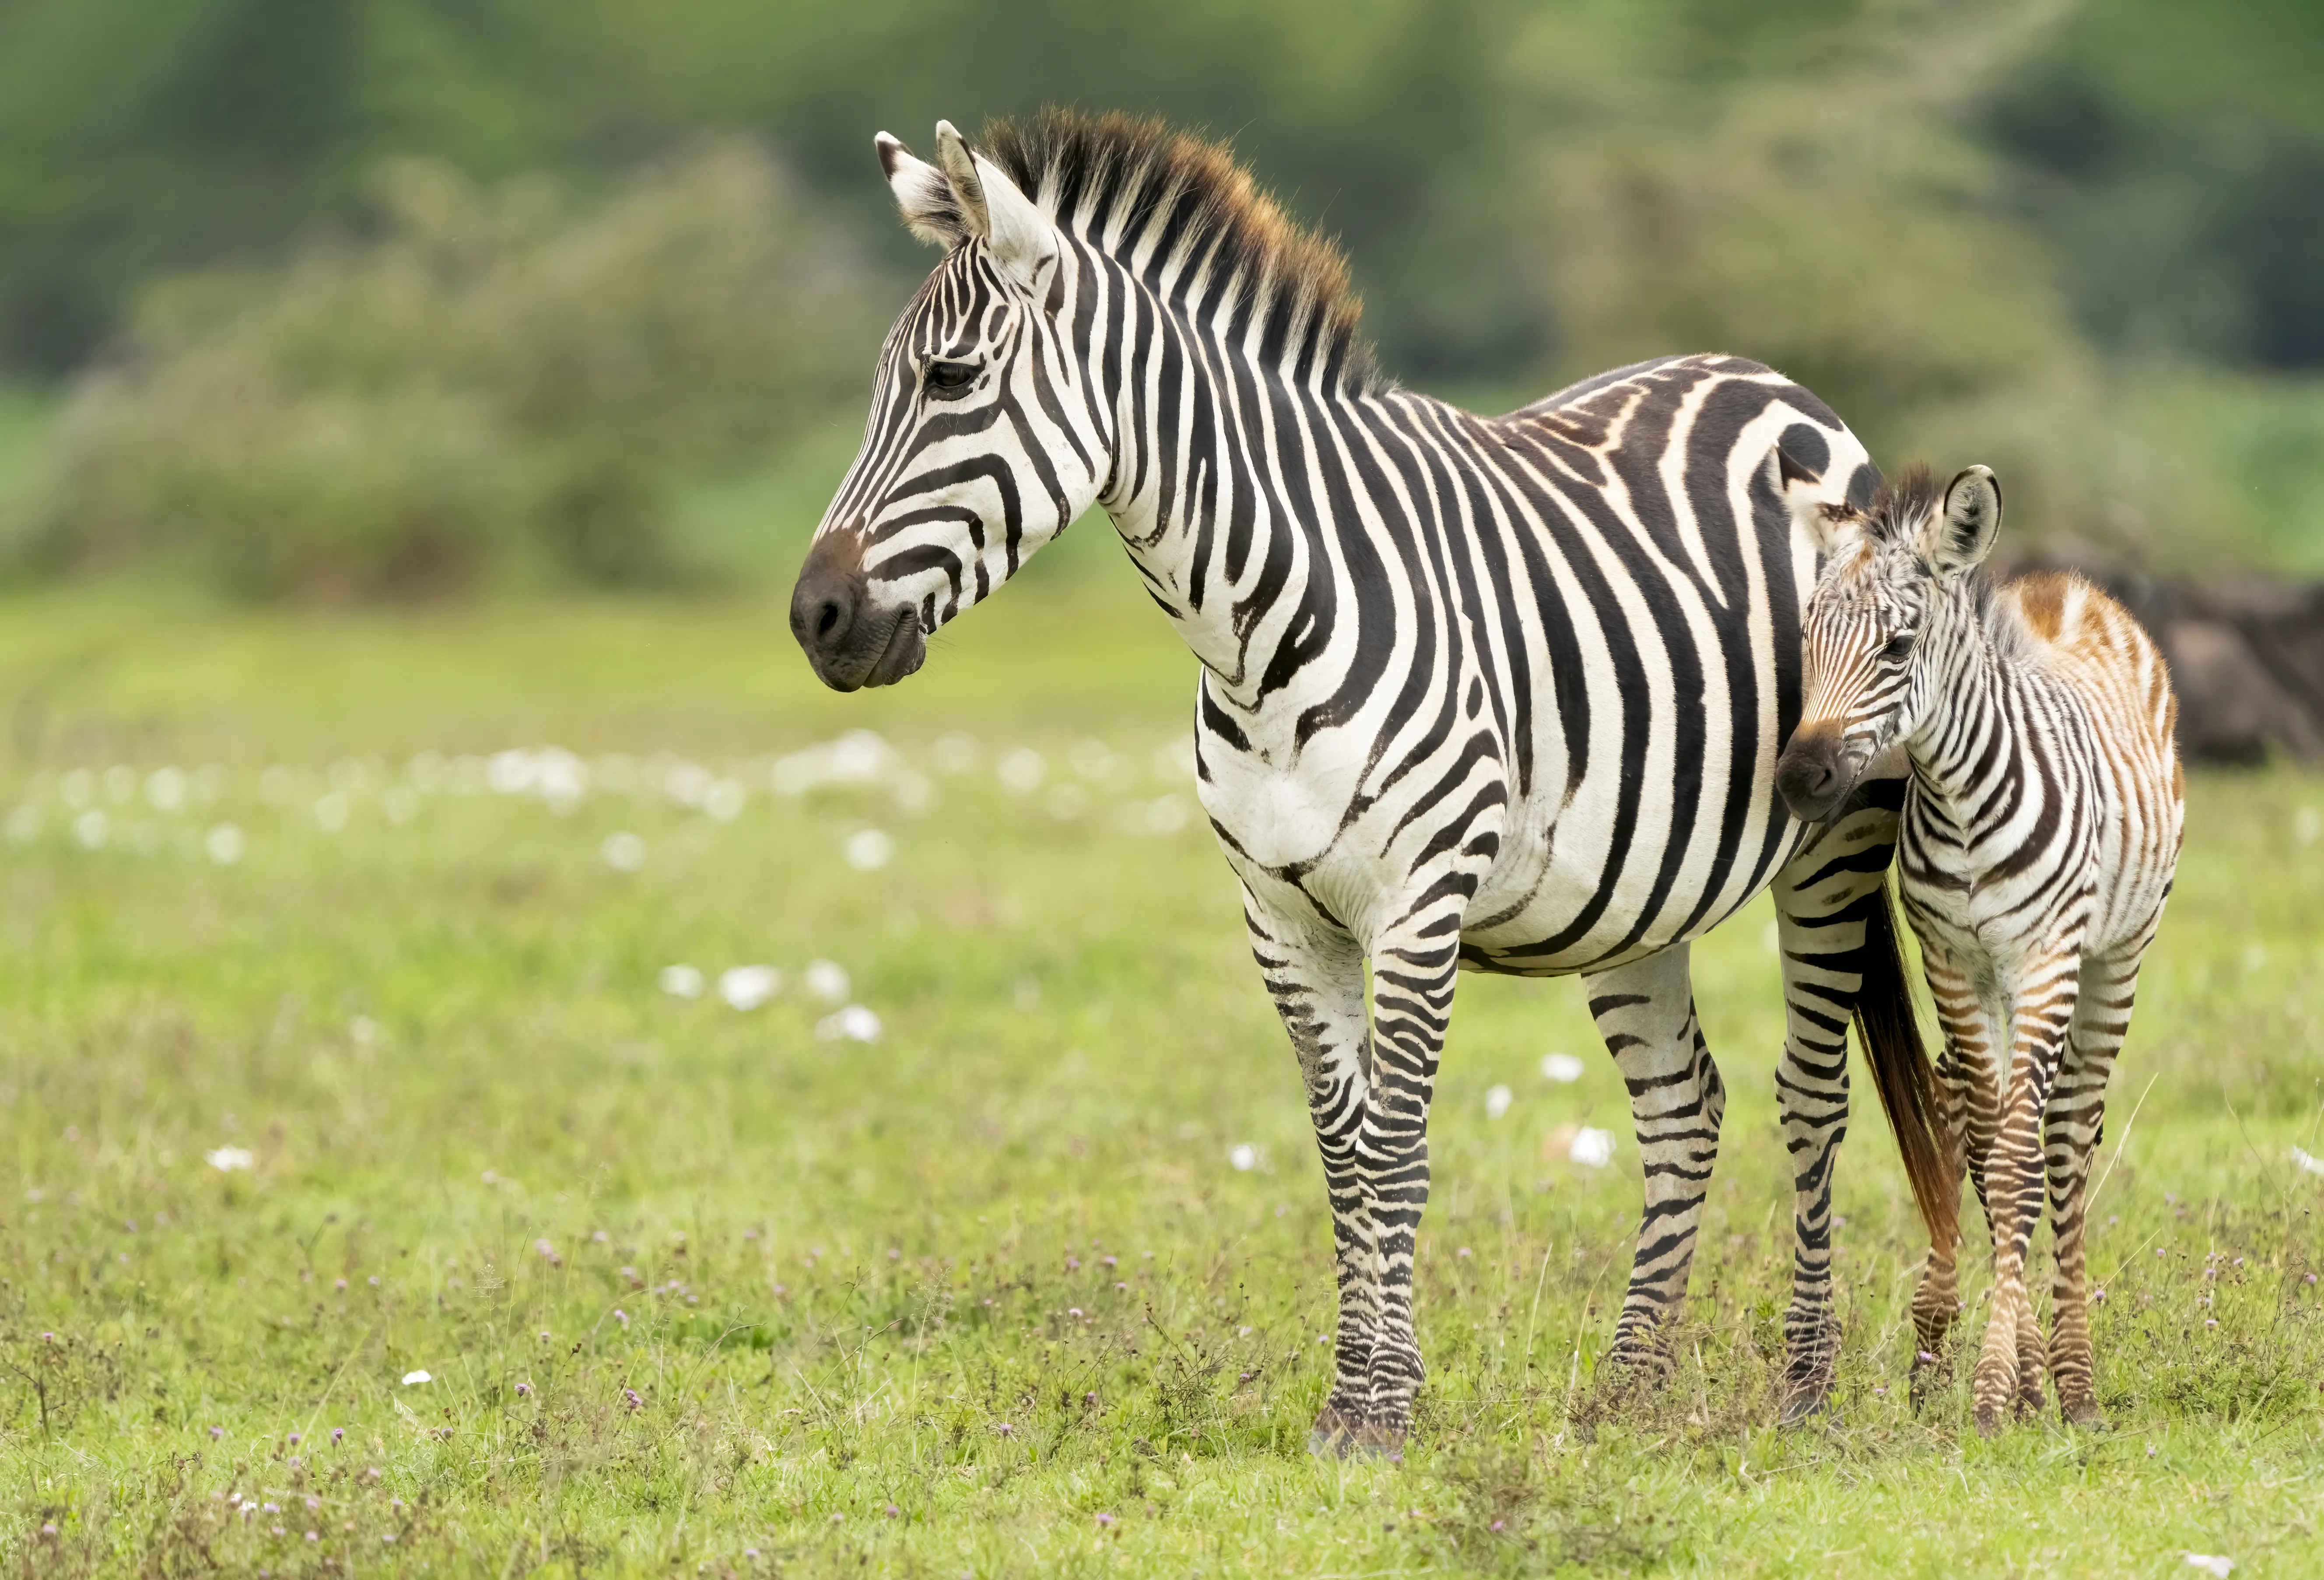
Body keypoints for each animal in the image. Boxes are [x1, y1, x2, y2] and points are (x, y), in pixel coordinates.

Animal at [791, 109, 1950, 1448]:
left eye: (948, 382)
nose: (813, 618)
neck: (1251, 627)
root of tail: (1769, 381)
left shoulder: (1416, 901)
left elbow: (1395, 1144)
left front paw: (1385, 1411)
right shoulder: (1279, 915)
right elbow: (1341, 1151)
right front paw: (1351, 1395)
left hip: (1831, 845)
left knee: (1808, 1094)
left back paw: (1804, 1387)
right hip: (1630, 891)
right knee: (1681, 1106)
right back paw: (1626, 1387)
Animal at [1774, 463, 2184, 1433]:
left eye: (1899, 646)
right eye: (1806, 639)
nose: (1800, 780)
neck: (1960, 803)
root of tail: (2065, 584)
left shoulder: (2043, 958)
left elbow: (2018, 1162)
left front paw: (2003, 1388)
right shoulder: (1953, 962)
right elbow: (1990, 1151)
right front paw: (2003, 1374)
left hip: (2112, 957)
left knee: (2067, 1137)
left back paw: (2076, 1383)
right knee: (1975, 1106)